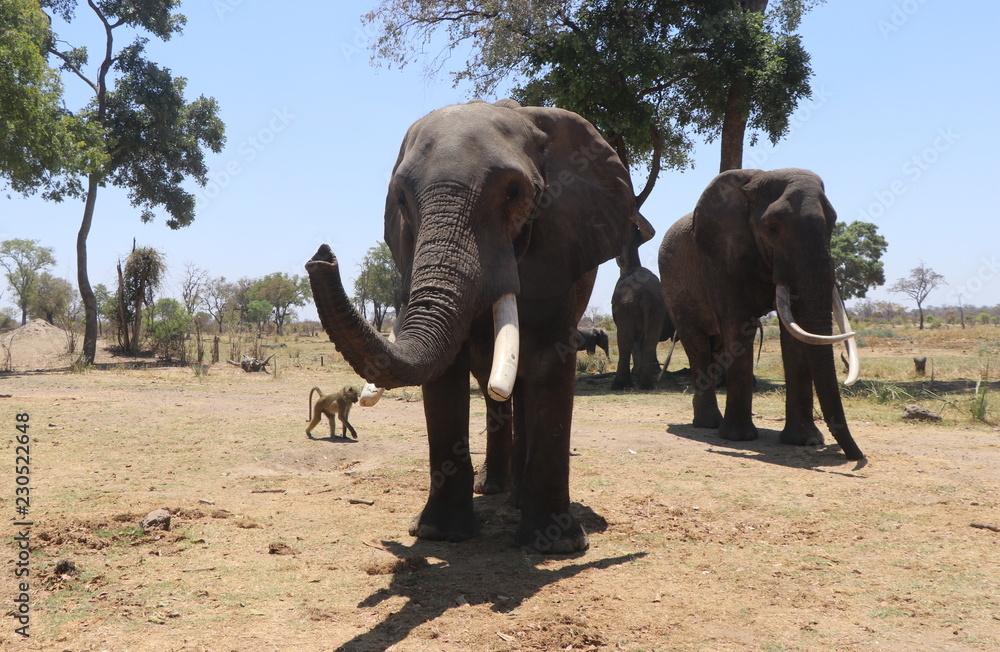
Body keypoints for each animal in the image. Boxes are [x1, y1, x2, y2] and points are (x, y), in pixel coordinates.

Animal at [306, 99, 636, 552]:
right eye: (402, 199)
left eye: (514, 192)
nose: (322, 256)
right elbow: (445, 376)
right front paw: (438, 534)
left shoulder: (559, 247)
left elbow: (549, 360)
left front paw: (555, 546)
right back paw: (493, 490)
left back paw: (516, 500)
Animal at [657, 168, 863, 460]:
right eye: (773, 229)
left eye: (832, 224)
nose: (856, 456)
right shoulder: (722, 258)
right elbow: (738, 326)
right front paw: (738, 438)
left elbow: (795, 333)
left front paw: (803, 441)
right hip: (672, 289)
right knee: (696, 343)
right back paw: (708, 424)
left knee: (715, 345)